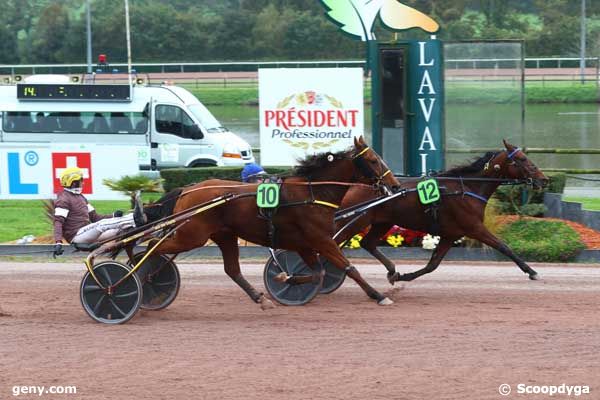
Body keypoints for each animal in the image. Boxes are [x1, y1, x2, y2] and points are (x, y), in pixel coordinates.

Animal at [148, 136, 400, 308]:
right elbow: (349, 268)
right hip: (192, 235)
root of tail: (187, 189)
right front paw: (379, 296)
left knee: (232, 269)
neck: (313, 192)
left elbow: (319, 273)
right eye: (373, 160)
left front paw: (285, 278)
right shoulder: (321, 239)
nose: (395, 185)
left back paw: (259, 298)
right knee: (152, 245)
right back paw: (145, 275)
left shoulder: (306, 244)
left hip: (224, 235)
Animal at [332, 139, 548, 282]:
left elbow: (432, 265)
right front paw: (531, 271)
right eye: (522, 158)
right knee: (336, 242)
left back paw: (392, 270)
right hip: (357, 220)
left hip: (382, 221)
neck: (467, 188)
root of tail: (351, 185)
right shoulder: (474, 228)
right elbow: (504, 246)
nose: (544, 179)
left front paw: (404, 276)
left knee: (367, 243)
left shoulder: (451, 234)